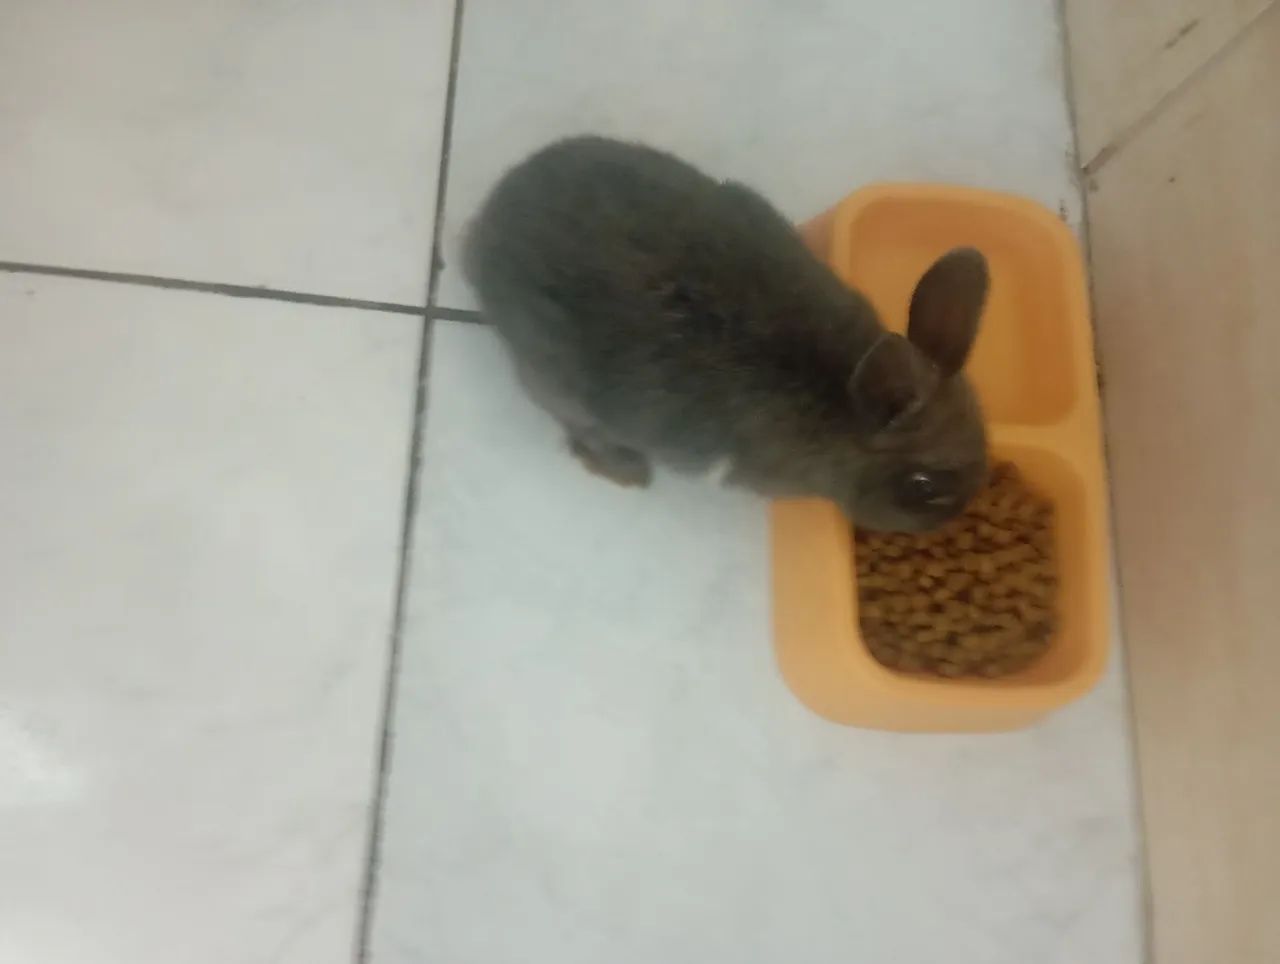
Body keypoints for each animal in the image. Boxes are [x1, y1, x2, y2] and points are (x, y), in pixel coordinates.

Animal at [463, 136, 990, 532]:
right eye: (922, 486)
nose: (946, 523)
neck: (842, 406)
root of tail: (483, 231)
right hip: (560, 385)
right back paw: (629, 473)